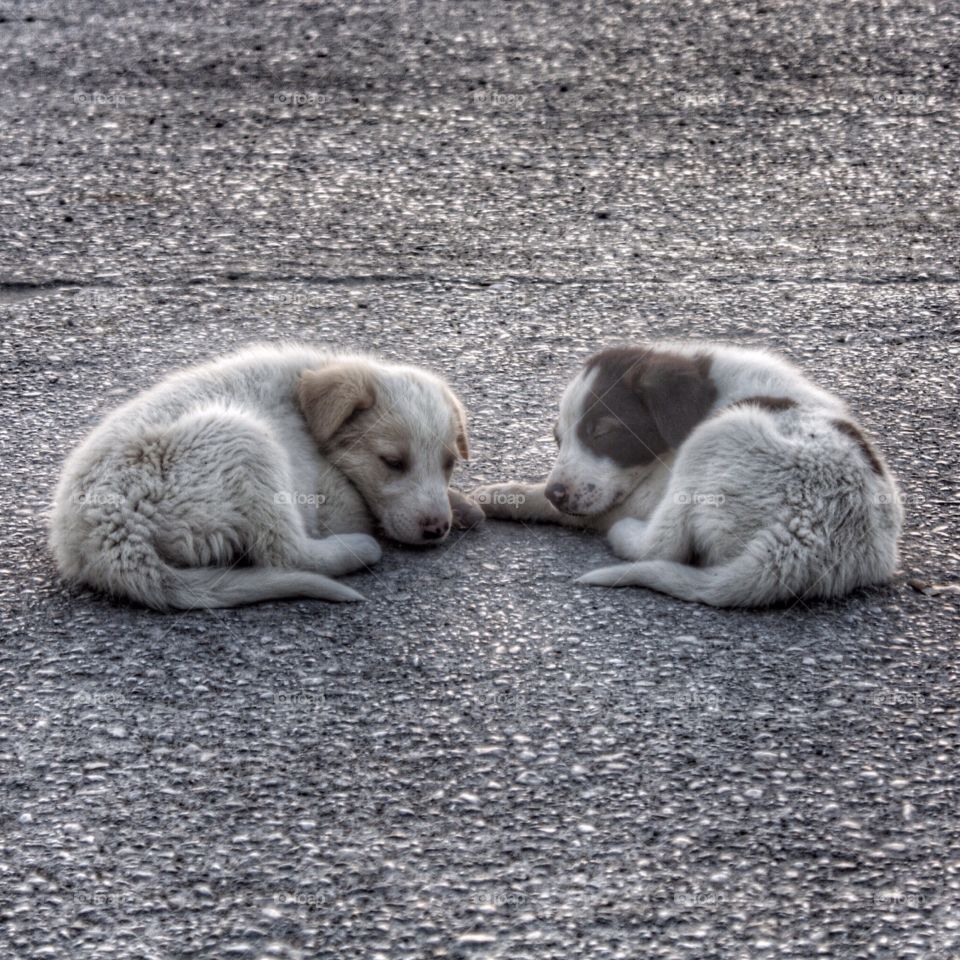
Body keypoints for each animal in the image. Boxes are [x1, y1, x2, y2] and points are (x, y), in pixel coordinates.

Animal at [48, 344, 484, 608]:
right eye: (392, 462)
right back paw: (360, 548)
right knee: (287, 552)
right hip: (244, 442)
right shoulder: (329, 495)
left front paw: (464, 504)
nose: (436, 529)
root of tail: (107, 540)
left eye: (449, 464)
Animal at [476, 342, 904, 604]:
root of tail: (801, 547)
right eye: (557, 438)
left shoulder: (643, 492)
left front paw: (504, 494)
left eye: (603, 432)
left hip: (715, 439)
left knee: (660, 546)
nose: (557, 493)